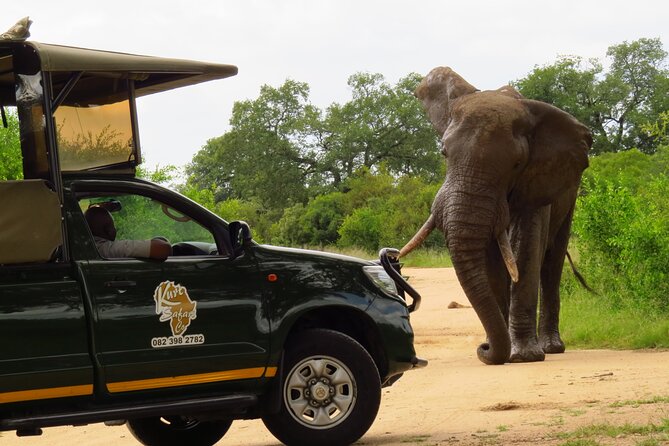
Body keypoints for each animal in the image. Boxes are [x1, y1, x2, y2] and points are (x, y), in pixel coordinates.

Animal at [396, 67, 588, 366]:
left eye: (517, 164)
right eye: (443, 152)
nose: (483, 348)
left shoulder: (538, 179)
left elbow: (526, 249)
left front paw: (524, 357)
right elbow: (491, 261)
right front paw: (506, 352)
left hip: (571, 193)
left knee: (552, 260)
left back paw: (551, 347)